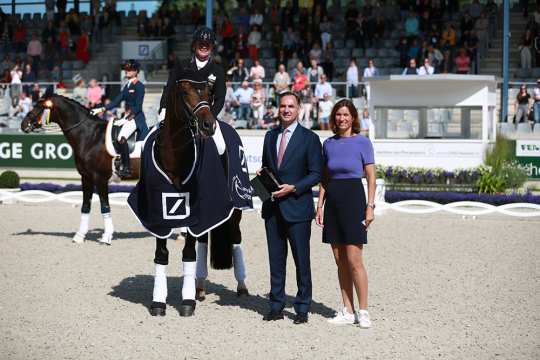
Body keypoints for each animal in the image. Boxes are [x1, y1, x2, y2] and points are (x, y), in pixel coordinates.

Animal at [20, 94, 140, 245]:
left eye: (40, 106)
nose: (23, 124)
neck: (90, 136)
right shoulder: (86, 177)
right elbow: (85, 206)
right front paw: (80, 235)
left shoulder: (100, 178)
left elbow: (105, 206)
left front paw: (107, 236)